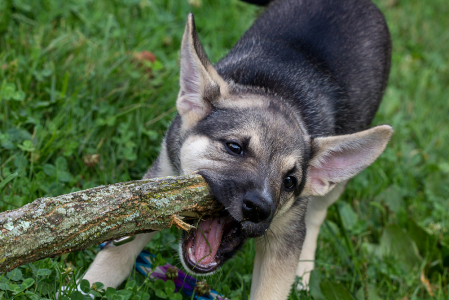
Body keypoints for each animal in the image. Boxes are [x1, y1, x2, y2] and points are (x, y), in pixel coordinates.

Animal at [82, 0, 390, 298]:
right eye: (234, 147)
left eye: (290, 181)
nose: (259, 208)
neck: (277, 91)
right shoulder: (159, 182)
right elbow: (118, 251)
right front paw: (87, 285)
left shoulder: (285, 236)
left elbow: (271, 290)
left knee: (317, 215)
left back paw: (304, 273)